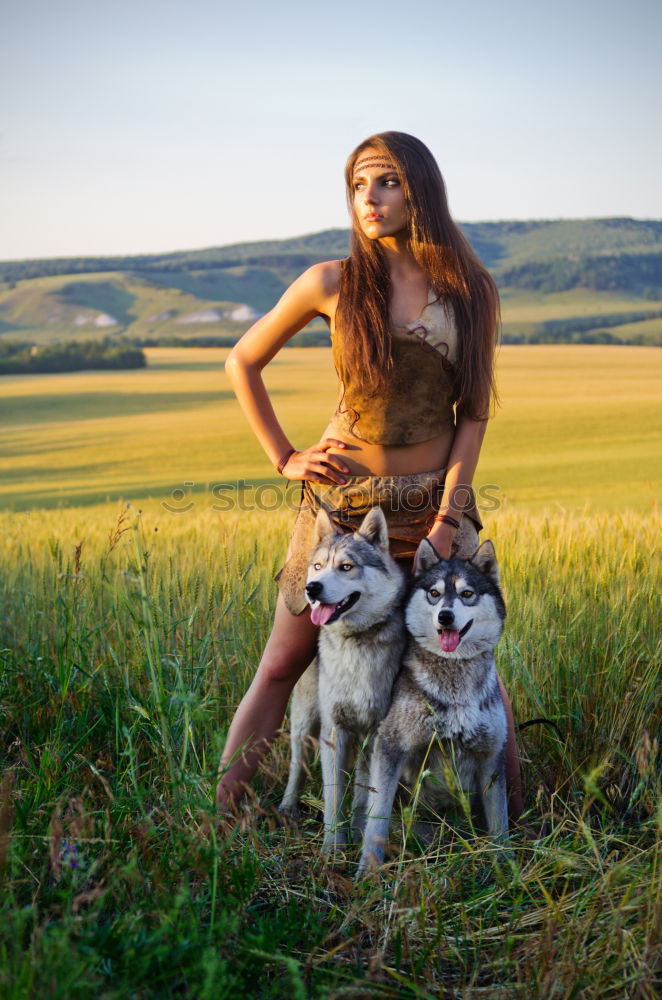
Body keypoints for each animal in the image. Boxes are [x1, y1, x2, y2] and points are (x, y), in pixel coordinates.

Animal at [278, 508, 408, 852]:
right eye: (318, 566)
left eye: (346, 567)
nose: (312, 588)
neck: (355, 643)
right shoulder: (334, 731)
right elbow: (334, 796)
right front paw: (332, 847)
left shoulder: (374, 735)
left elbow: (364, 795)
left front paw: (359, 834)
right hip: (304, 721)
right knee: (296, 766)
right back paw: (286, 807)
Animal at [358, 536, 508, 872]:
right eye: (434, 594)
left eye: (467, 594)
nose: (445, 616)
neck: (455, 685)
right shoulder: (390, 747)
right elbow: (377, 818)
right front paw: (368, 869)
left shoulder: (490, 757)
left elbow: (499, 825)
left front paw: (507, 864)